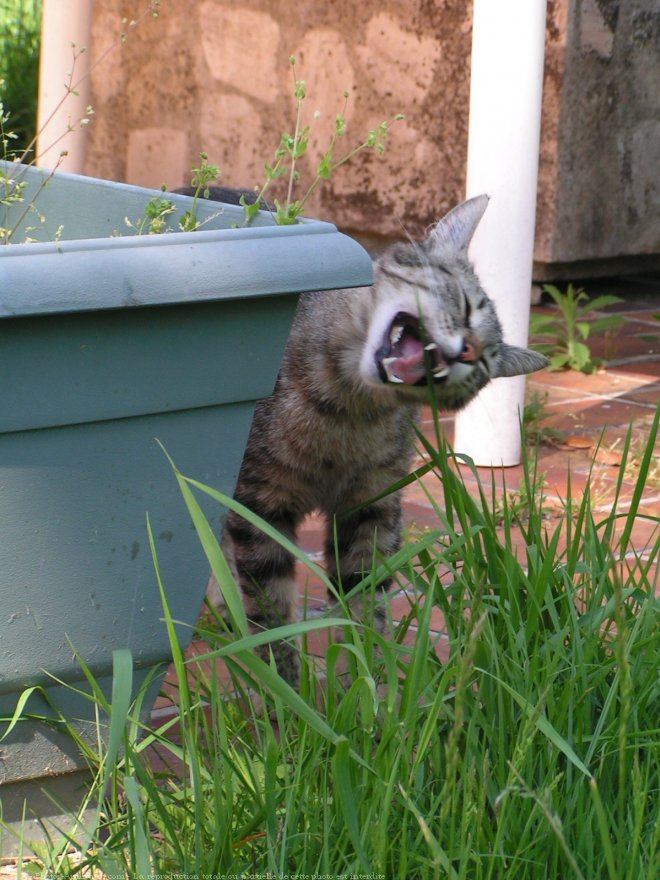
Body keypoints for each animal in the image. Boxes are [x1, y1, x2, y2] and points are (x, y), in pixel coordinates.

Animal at [205, 196, 548, 684]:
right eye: (465, 306)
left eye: (483, 365)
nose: (468, 351)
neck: (345, 412)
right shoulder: (261, 503)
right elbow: (271, 607)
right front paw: (282, 689)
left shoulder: (372, 503)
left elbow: (366, 597)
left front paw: (369, 681)